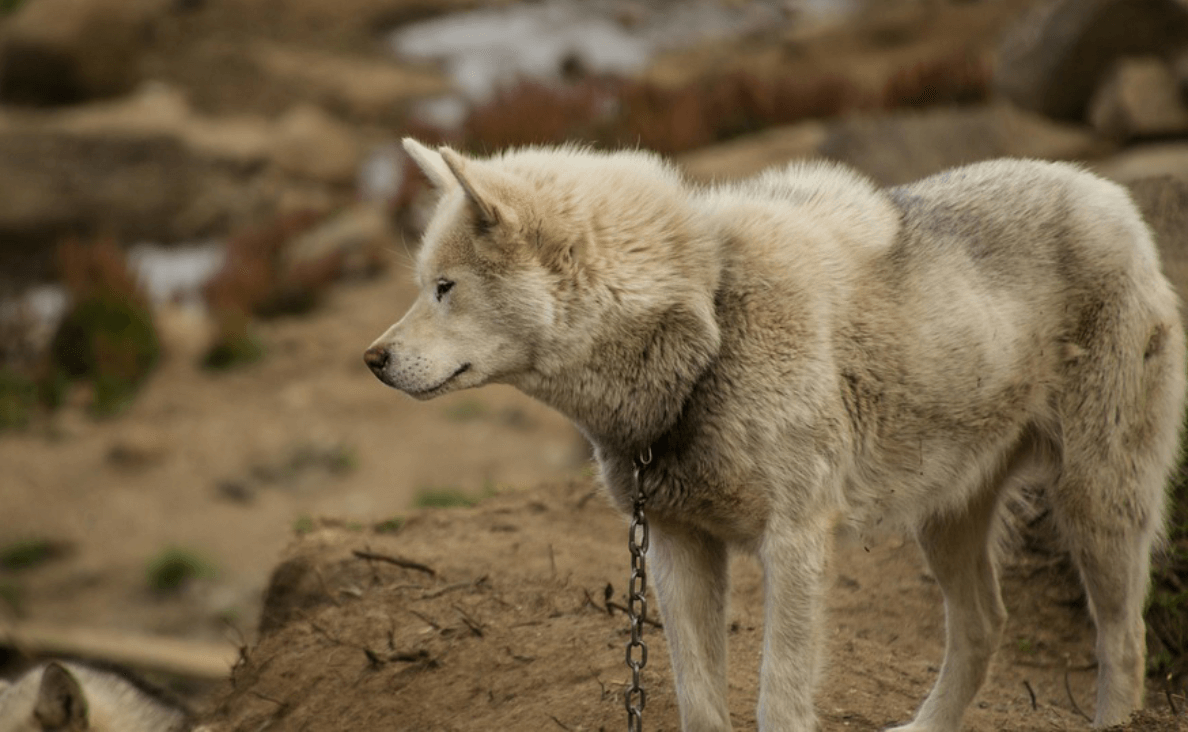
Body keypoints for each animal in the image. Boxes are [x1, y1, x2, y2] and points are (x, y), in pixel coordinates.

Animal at [365, 140, 1183, 727]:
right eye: (423, 286)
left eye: (445, 289)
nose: (372, 359)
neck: (712, 325)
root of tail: (1110, 193)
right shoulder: (677, 546)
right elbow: (700, 703)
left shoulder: (793, 544)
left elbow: (778, 700)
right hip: (945, 519)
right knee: (985, 627)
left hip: (1096, 505)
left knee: (1124, 640)